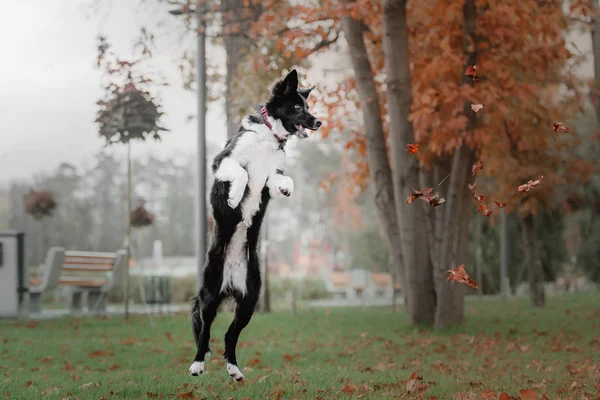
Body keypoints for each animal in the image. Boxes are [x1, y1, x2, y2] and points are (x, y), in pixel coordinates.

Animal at [190, 69, 322, 382]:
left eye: (307, 105)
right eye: (298, 106)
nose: (318, 122)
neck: (269, 137)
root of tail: (229, 282)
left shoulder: (271, 177)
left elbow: (283, 179)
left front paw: (287, 189)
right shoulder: (223, 160)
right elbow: (240, 173)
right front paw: (235, 195)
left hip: (249, 301)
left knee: (229, 336)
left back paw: (234, 369)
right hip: (209, 296)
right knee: (205, 332)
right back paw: (197, 364)